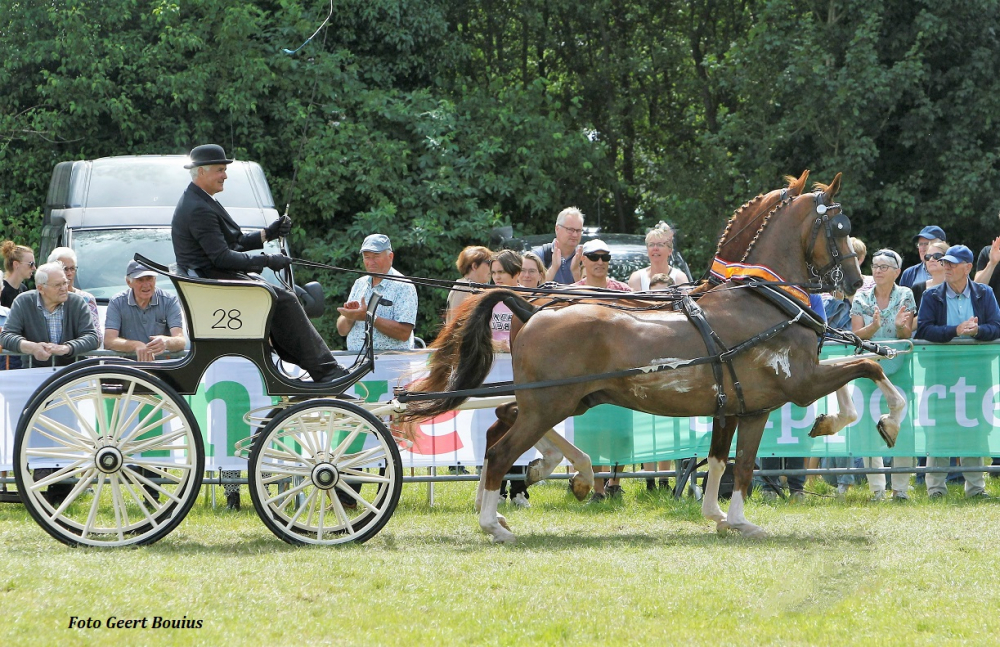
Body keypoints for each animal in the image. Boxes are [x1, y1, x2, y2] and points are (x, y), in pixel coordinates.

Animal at [403, 173, 906, 543]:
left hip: (559, 400)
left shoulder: (736, 406)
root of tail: (531, 308)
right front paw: (884, 422)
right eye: (840, 228)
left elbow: (719, 460)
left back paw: (553, 479)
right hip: (550, 403)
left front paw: (721, 516)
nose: (855, 281)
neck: (761, 300)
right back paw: (496, 522)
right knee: (501, 450)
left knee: (499, 427)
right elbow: (863, 371)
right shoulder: (788, 390)